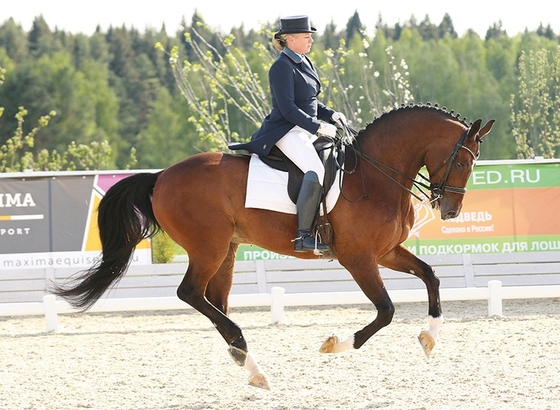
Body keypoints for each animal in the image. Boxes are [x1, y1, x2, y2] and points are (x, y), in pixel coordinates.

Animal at [49, 104, 494, 390]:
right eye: (462, 161)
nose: (451, 211)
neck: (374, 174)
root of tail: (161, 176)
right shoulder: (358, 258)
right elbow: (385, 311)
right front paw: (334, 345)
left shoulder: (385, 252)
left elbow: (431, 277)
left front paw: (429, 337)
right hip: (209, 247)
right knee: (190, 293)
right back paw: (247, 356)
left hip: (226, 251)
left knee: (215, 301)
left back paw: (247, 364)